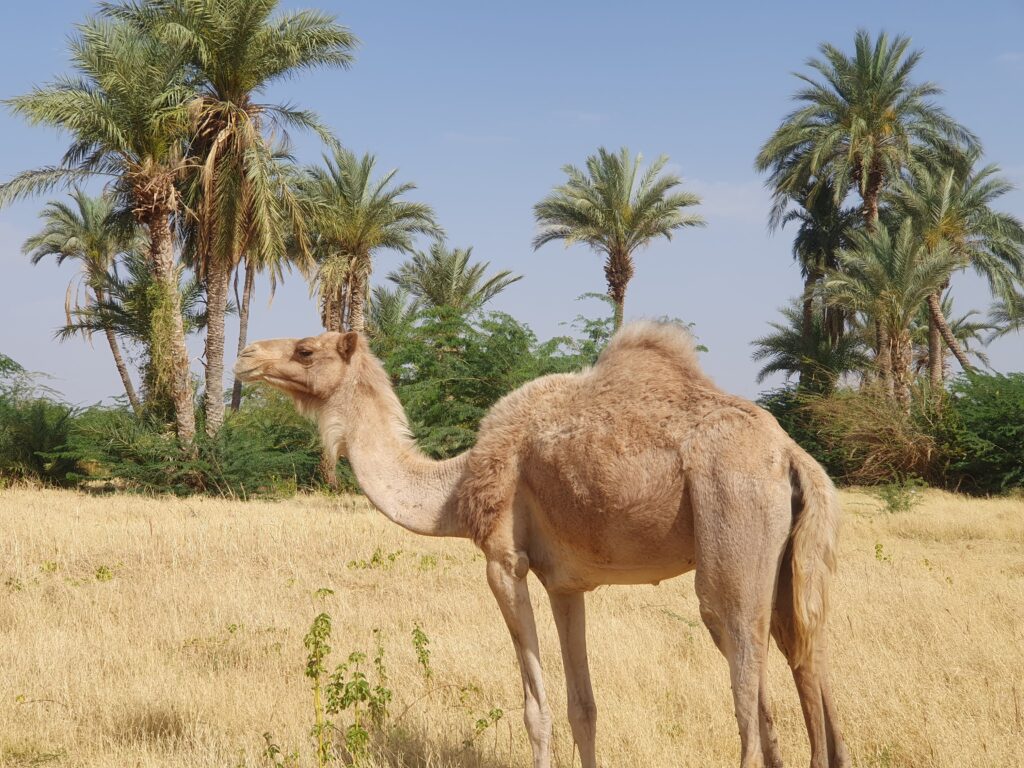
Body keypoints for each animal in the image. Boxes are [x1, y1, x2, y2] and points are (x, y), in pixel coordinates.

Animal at [234, 321, 850, 768]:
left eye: (306, 349)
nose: (245, 355)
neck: (454, 487)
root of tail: (791, 455)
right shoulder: (566, 584)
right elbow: (584, 708)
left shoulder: (504, 562)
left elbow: (537, 709)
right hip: (787, 560)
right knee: (808, 657)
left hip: (733, 531)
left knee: (746, 689)